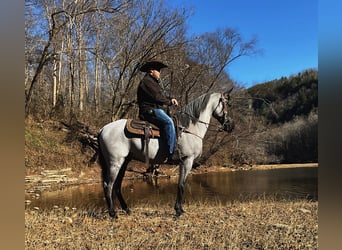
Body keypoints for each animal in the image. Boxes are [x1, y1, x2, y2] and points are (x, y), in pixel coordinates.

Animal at [97, 89, 234, 218]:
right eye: (227, 103)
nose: (231, 125)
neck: (190, 128)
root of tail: (103, 129)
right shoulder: (187, 161)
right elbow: (181, 185)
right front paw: (178, 211)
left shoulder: (183, 162)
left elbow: (180, 184)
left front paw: (180, 209)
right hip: (115, 162)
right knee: (108, 185)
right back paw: (113, 214)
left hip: (124, 162)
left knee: (117, 186)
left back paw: (127, 209)